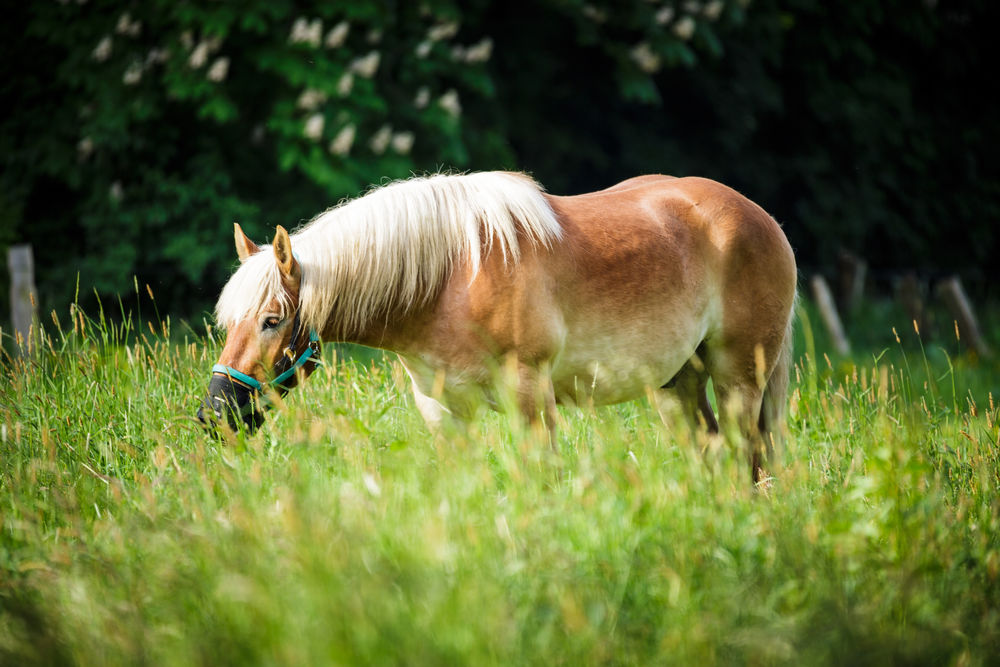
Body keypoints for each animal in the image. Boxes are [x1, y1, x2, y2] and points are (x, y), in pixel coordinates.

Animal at [197, 171, 797, 483]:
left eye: (272, 320)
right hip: (677, 385)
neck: (449, 278)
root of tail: (762, 217)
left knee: (749, 458)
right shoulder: (442, 409)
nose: (213, 415)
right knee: (715, 454)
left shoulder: (529, 395)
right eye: (229, 321)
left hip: (739, 379)